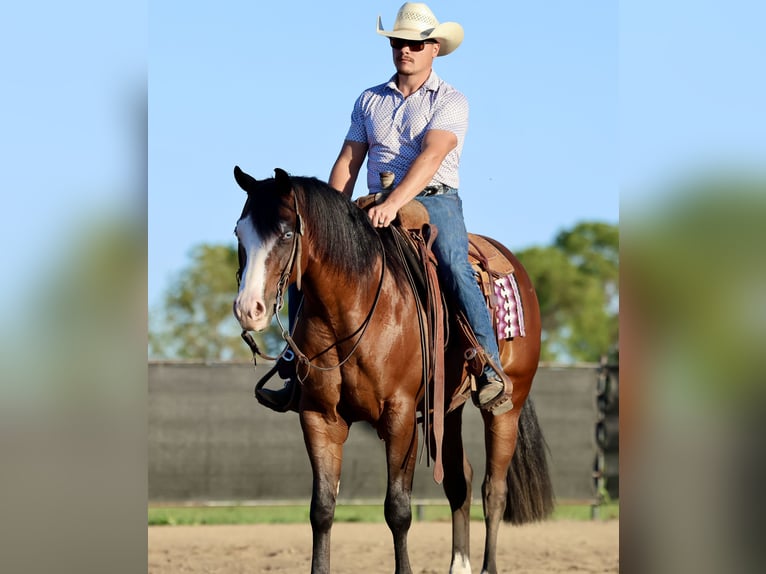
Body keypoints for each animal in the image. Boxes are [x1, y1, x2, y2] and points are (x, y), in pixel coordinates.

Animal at [232, 166, 554, 574]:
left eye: (287, 233)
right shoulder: (319, 417)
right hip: (445, 411)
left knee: (493, 490)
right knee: (460, 482)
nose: (248, 309)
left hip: (507, 408)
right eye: (239, 233)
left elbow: (398, 510)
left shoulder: (399, 417)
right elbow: (322, 509)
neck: (354, 308)